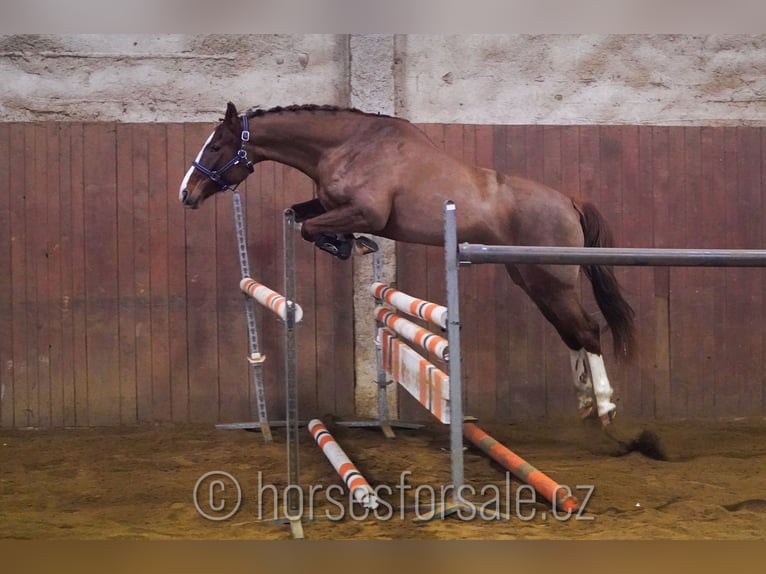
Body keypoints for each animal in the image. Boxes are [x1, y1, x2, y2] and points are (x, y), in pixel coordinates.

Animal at [180, 102, 636, 428]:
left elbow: (311, 226)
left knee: (588, 331)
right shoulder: (332, 205)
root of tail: (569, 202)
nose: (187, 194)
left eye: (216, 147)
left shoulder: (366, 212)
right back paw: (585, 403)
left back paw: (606, 407)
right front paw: (348, 243)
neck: (347, 146)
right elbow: (298, 214)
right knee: (569, 332)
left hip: (553, 280)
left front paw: (347, 245)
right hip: (532, 280)